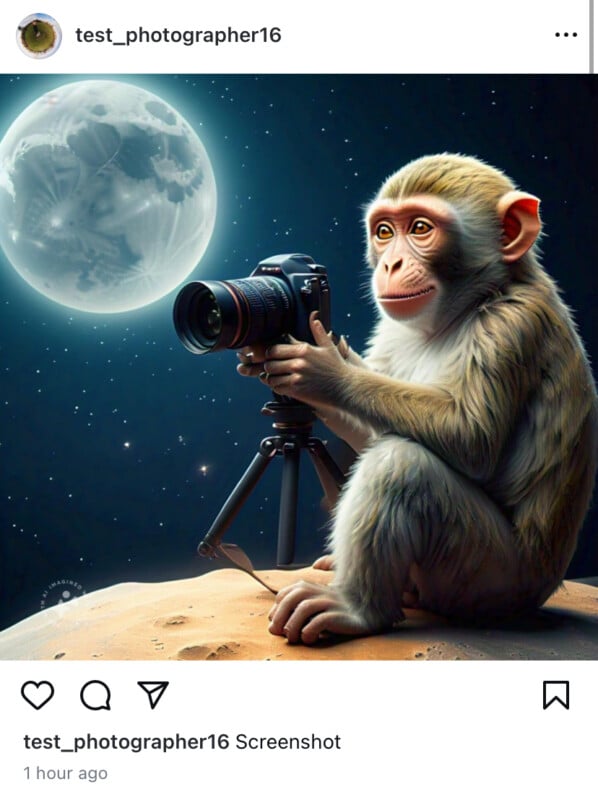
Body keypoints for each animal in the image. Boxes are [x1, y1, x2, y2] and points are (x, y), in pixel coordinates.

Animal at [237, 155, 596, 644]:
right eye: (385, 231)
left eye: (421, 228)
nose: (390, 264)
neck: (463, 309)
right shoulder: (392, 328)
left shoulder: (512, 325)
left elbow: (471, 438)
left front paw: (324, 370)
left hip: (491, 578)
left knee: (403, 466)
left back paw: (357, 608)